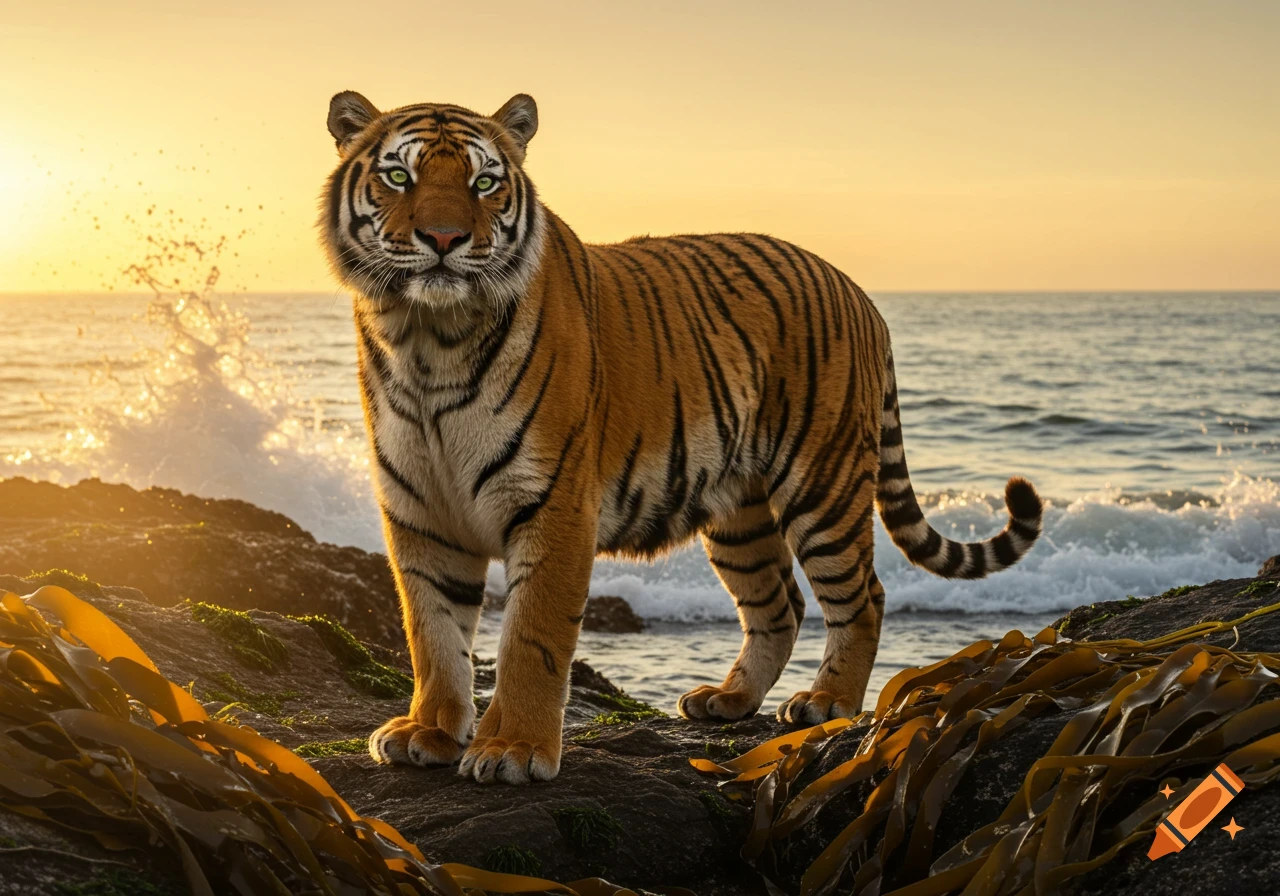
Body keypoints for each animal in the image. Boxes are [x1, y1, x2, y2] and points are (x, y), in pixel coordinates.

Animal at [320, 90, 1043, 785]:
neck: (427, 341)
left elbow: (529, 638)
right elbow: (432, 633)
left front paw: (513, 750)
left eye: (485, 182)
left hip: (823, 485)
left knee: (863, 597)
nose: (444, 237)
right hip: (738, 512)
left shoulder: (554, 504)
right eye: (399, 175)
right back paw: (728, 699)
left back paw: (826, 702)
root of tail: (857, 290)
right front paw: (428, 732)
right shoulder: (422, 512)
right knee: (779, 605)